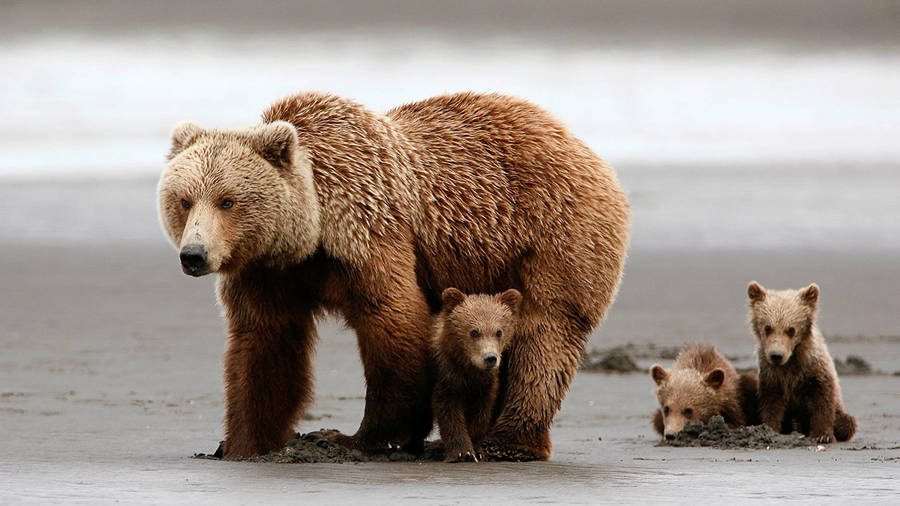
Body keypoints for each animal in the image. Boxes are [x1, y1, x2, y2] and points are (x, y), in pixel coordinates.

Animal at [432, 287, 522, 462]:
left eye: (499, 331)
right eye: (474, 332)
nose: (490, 358)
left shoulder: (486, 385)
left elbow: (481, 413)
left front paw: (476, 450)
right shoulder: (447, 376)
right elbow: (449, 412)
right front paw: (462, 452)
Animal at [747, 282, 856, 443]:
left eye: (791, 329)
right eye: (767, 327)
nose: (776, 355)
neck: (791, 362)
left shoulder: (814, 369)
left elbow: (823, 399)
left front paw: (822, 435)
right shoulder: (772, 374)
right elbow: (771, 403)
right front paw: (769, 429)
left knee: (848, 421)